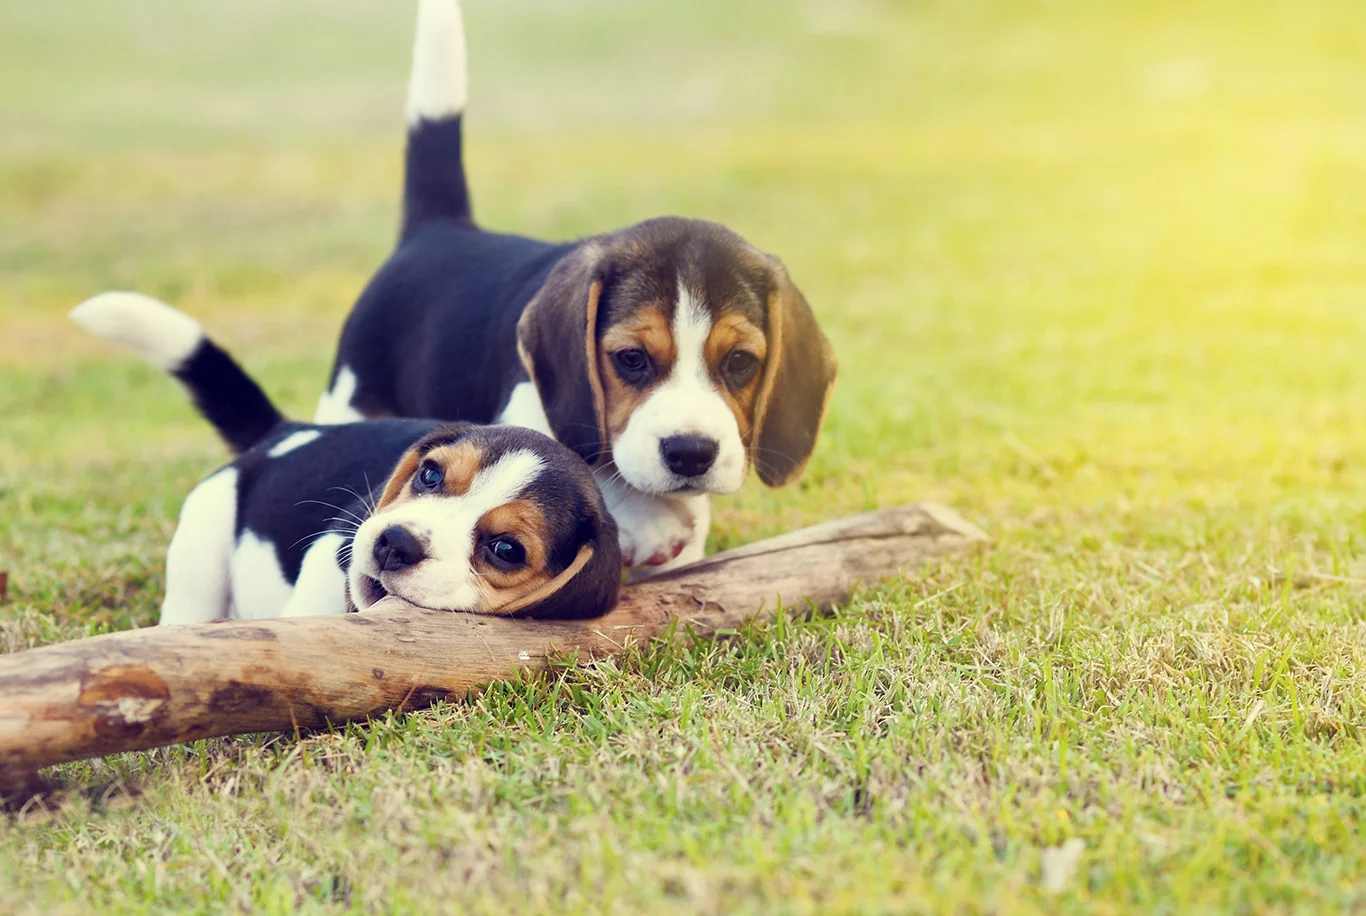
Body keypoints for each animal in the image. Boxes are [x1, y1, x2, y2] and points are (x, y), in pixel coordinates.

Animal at [74, 293, 620, 622]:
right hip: (201, 548)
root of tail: (287, 431)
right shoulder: (335, 544)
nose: (394, 543)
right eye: (429, 475)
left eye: (506, 549)